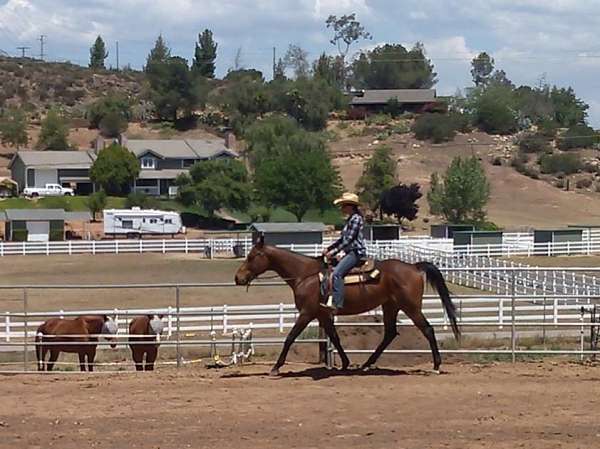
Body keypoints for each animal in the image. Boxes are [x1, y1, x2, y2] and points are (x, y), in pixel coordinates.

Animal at [234, 236, 460, 376]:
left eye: (252, 256)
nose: (238, 278)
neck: (304, 274)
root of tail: (414, 267)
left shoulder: (307, 313)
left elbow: (290, 337)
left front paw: (276, 367)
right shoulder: (323, 315)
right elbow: (335, 338)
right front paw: (345, 364)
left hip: (411, 307)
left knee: (428, 330)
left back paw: (436, 365)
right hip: (390, 306)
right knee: (389, 333)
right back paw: (367, 364)